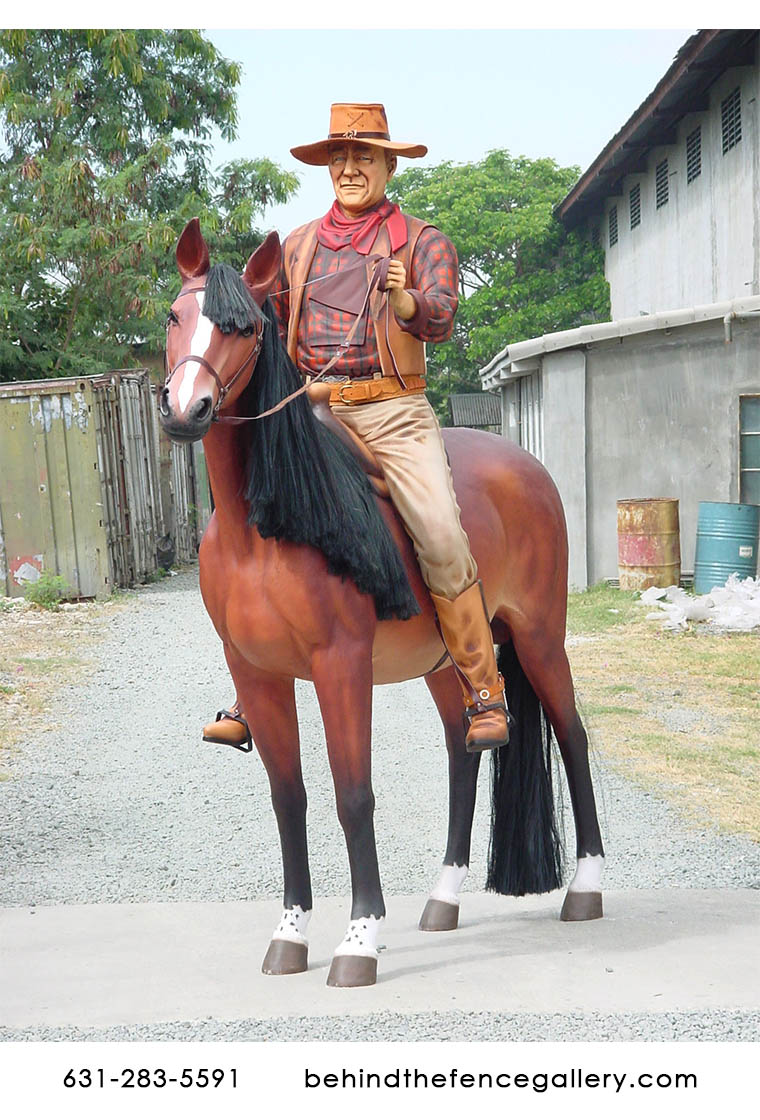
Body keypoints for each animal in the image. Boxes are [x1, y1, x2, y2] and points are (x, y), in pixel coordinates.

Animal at [158, 218, 605, 988]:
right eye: (173, 317)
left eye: (244, 329)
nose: (188, 411)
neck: (267, 526)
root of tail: (528, 467)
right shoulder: (258, 673)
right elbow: (289, 796)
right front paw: (290, 934)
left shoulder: (341, 665)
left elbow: (353, 794)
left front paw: (359, 940)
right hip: (447, 662)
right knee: (465, 747)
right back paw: (443, 897)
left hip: (542, 637)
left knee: (571, 736)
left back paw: (587, 888)